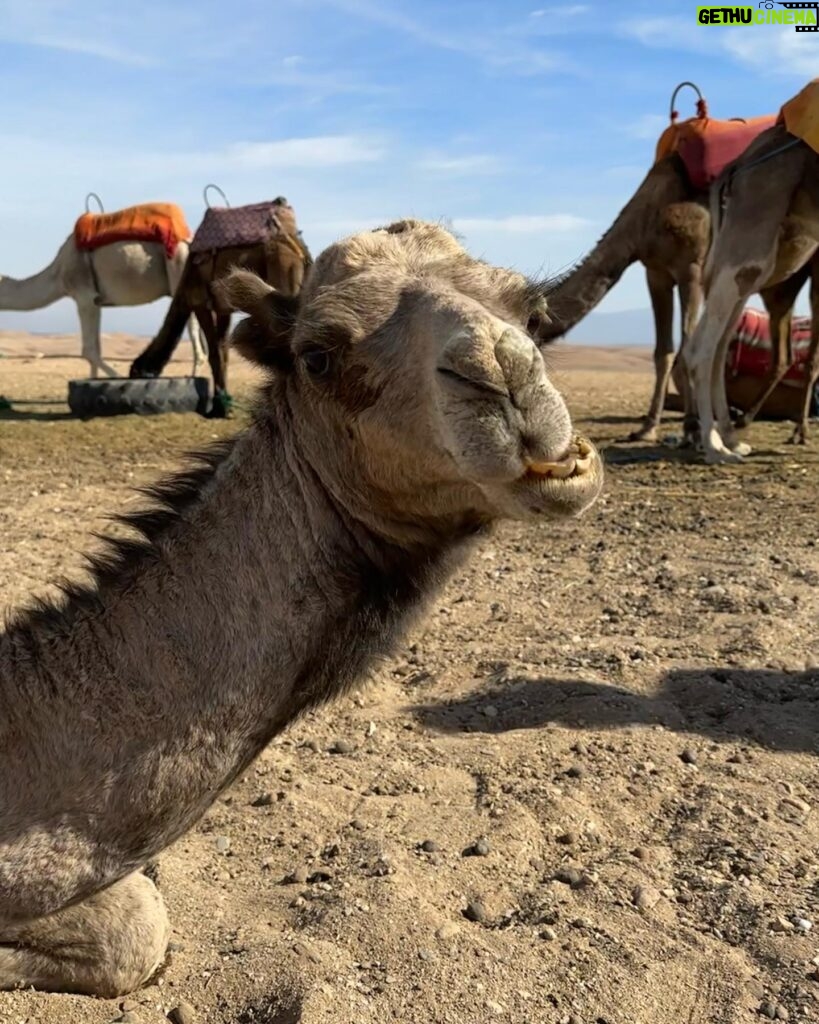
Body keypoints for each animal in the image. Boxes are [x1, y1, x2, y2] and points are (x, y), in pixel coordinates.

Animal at [1, 217, 204, 380]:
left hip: (179, 266)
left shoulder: (83, 295)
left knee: (193, 324)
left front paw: (119, 378)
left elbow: (89, 351)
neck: (57, 275)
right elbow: (95, 350)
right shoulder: (96, 301)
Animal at [129, 230, 311, 417]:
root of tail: (300, 251)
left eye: (135, 373)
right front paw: (225, 403)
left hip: (284, 272)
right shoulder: (223, 310)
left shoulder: (200, 303)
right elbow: (223, 351)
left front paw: (219, 408)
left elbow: (214, 354)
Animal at [683, 121, 818, 466]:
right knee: (703, 348)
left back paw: (729, 439)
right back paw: (715, 447)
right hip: (755, 222)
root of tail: (737, 165)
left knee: (716, 345)